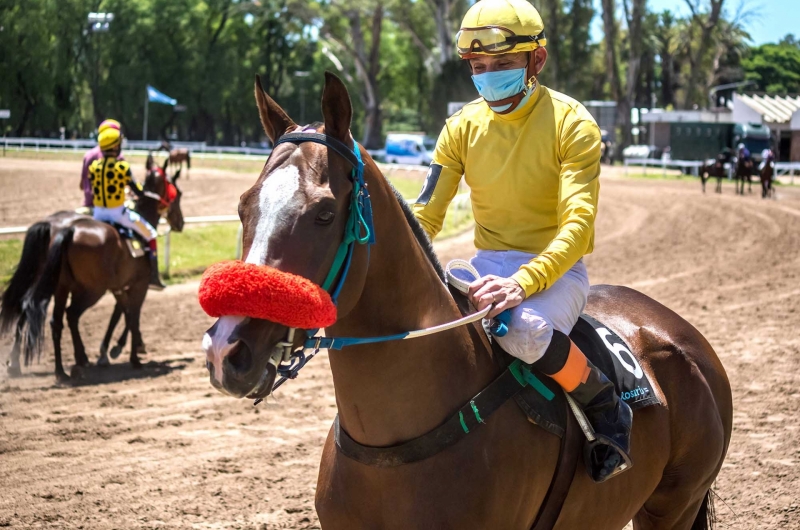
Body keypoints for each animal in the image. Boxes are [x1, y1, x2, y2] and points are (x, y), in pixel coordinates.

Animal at [0, 161, 184, 380]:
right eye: (177, 194)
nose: (180, 222)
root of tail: (66, 229)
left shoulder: (118, 286)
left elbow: (121, 313)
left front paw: (115, 349)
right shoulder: (138, 285)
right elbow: (131, 315)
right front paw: (130, 354)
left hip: (57, 284)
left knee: (43, 314)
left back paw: (50, 367)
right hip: (92, 290)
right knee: (70, 314)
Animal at [200, 72, 732, 524]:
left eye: (325, 213)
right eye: (244, 206)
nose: (227, 348)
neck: (395, 448)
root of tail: (679, 332)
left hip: (673, 508)